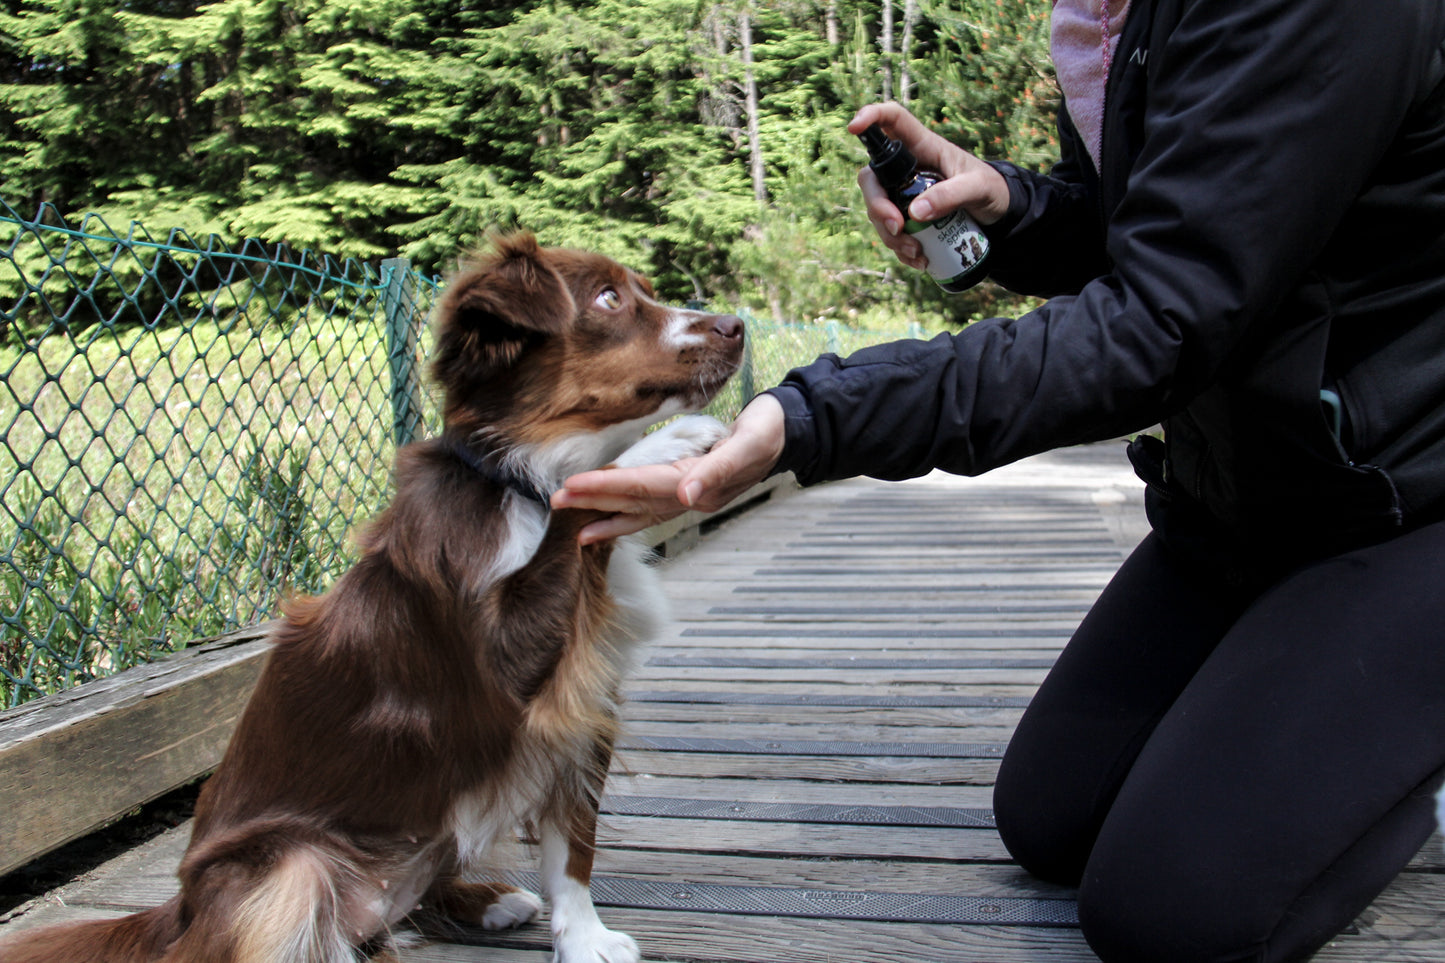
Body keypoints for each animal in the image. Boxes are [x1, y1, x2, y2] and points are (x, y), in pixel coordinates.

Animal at [0, 234, 745, 960]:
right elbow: (579, 492)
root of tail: (178, 914)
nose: (736, 326)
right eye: (608, 298)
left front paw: (584, 938)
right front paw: (663, 445)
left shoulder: (582, 699)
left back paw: (485, 900)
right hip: (289, 866)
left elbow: (572, 849)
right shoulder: (505, 669)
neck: (518, 482)